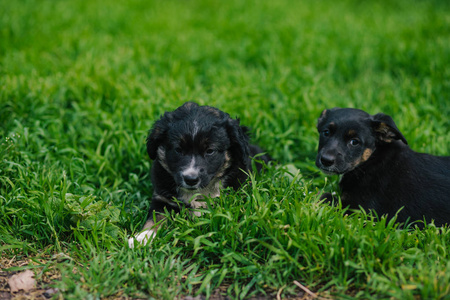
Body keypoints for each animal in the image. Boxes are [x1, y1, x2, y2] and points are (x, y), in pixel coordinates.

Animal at [130, 102, 270, 247]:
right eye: (178, 150)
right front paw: (142, 237)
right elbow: (155, 218)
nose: (190, 179)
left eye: (210, 151)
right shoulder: (162, 199)